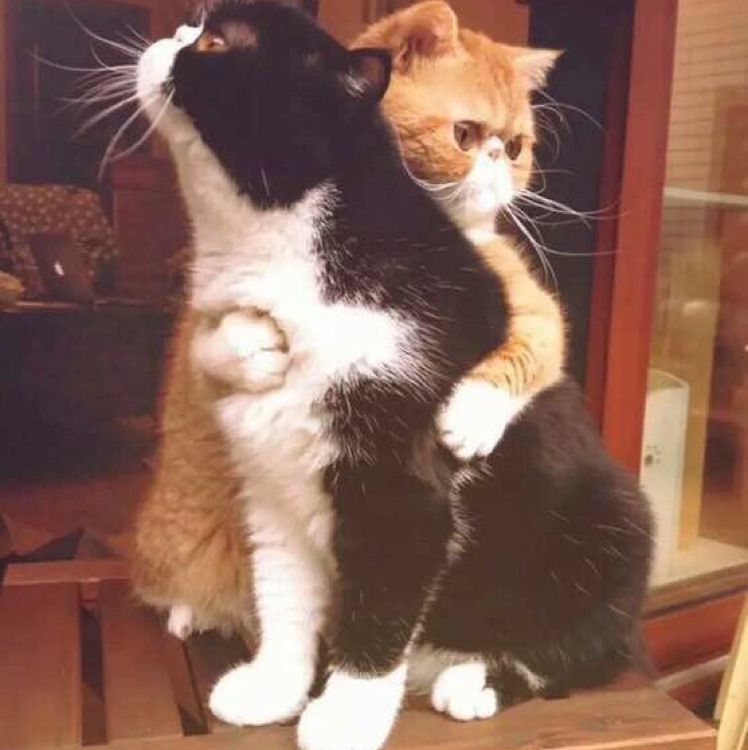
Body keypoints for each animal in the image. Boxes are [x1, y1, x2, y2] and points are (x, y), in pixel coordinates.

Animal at [134, 4, 652, 750]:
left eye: (215, 43)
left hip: (617, 526)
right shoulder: (271, 480)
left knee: (585, 648)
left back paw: (475, 679)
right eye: (197, 30)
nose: (169, 36)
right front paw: (274, 686)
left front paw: (345, 715)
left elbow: (380, 606)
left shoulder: (402, 490)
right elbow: (283, 594)